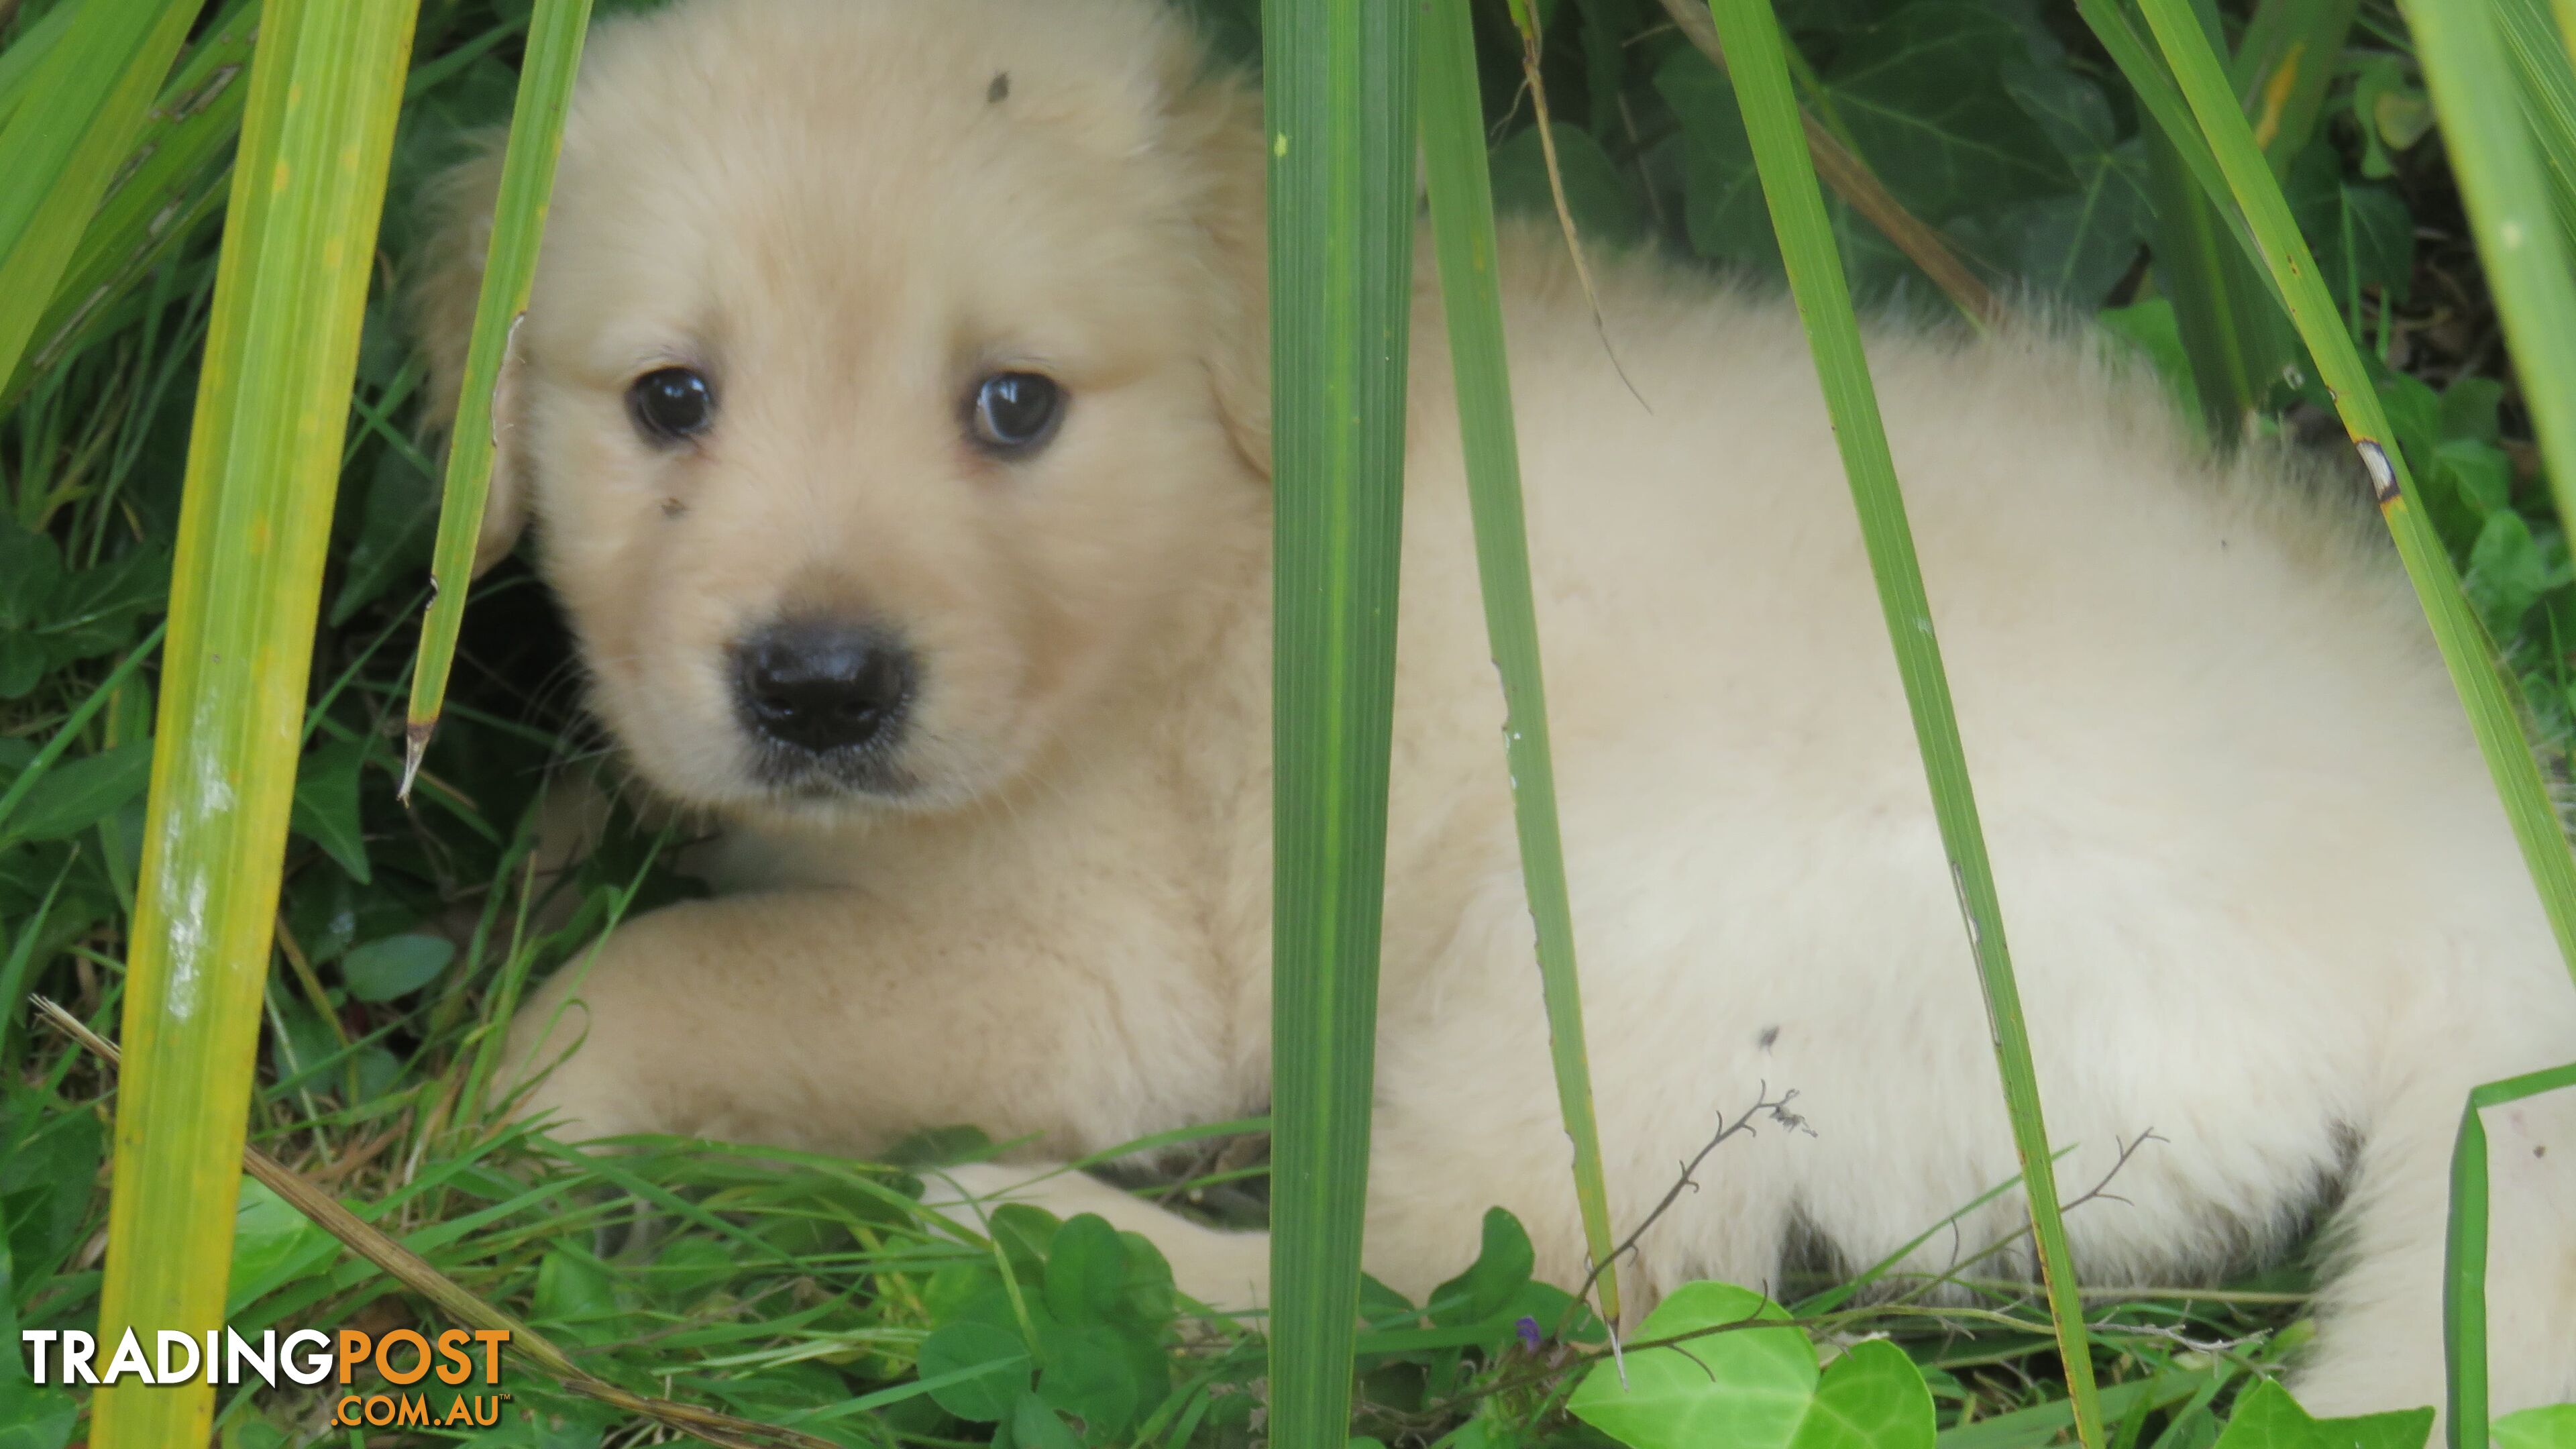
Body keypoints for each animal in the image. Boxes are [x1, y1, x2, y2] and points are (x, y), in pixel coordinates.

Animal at [417, 0, 2576, 1413]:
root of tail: (2459, 853)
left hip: (1632, 914)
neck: (1217, 540)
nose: (816, 689)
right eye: (668, 398)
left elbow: (655, 982)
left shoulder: (1105, 969)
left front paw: (498, 1116)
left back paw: (1017, 1233)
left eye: (1013, 406)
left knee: (1489, 1273)